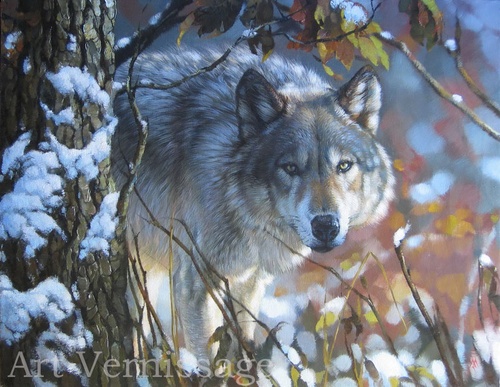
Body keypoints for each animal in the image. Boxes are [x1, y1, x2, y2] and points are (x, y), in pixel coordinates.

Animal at [112, 47, 394, 362]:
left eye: (343, 166)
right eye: (290, 168)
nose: (325, 226)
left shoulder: (249, 282)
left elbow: (242, 345)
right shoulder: (194, 283)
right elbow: (208, 361)